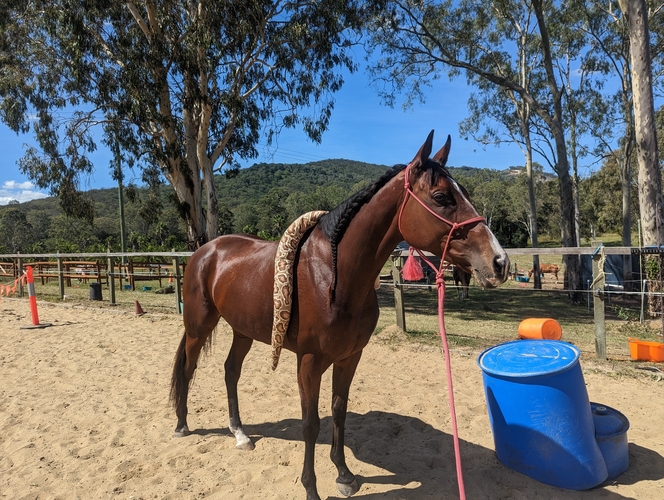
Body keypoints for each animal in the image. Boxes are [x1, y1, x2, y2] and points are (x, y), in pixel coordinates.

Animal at [170, 131, 510, 500]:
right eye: (441, 197)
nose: (499, 262)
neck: (334, 276)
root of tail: (205, 251)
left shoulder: (350, 357)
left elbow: (338, 410)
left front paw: (344, 474)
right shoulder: (309, 361)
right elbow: (310, 423)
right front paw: (311, 488)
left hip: (242, 331)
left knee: (231, 371)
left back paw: (240, 434)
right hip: (199, 326)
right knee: (188, 368)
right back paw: (182, 425)